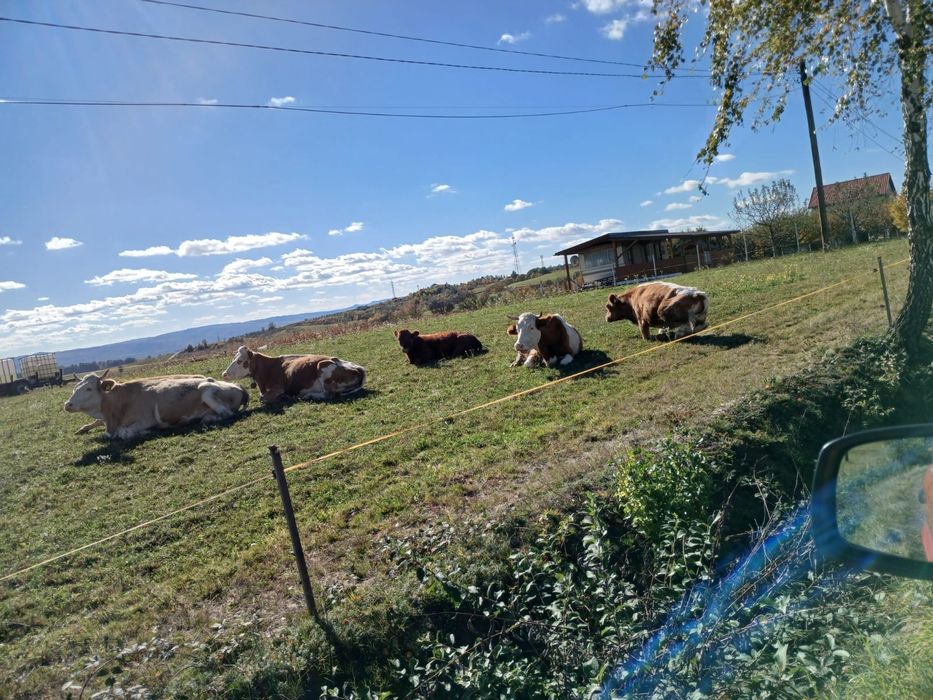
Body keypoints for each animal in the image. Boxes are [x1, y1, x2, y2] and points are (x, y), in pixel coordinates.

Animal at [64, 374, 248, 440]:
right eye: (75, 387)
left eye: (88, 388)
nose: (67, 404)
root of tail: (239, 386)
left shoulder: (145, 420)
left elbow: (124, 433)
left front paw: (149, 432)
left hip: (206, 390)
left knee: (226, 413)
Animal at [222, 345, 366, 403]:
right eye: (233, 358)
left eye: (241, 361)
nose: (224, 374)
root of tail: (359, 368)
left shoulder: (279, 388)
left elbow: (263, 398)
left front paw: (282, 397)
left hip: (322, 366)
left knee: (329, 394)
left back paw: (306, 396)